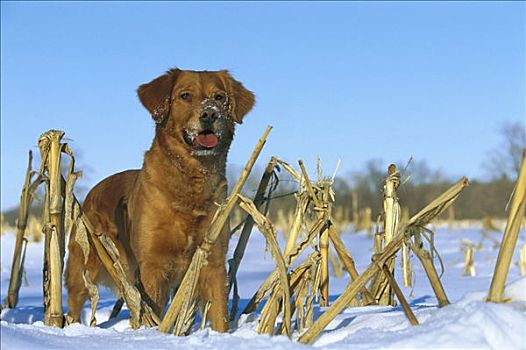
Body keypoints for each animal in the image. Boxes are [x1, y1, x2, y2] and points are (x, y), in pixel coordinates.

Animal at [66, 67, 256, 330]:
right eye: (185, 96)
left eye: (219, 97)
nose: (209, 113)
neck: (192, 180)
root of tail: (93, 192)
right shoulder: (152, 266)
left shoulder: (212, 262)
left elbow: (219, 315)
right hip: (83, 267)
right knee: (73, 306)